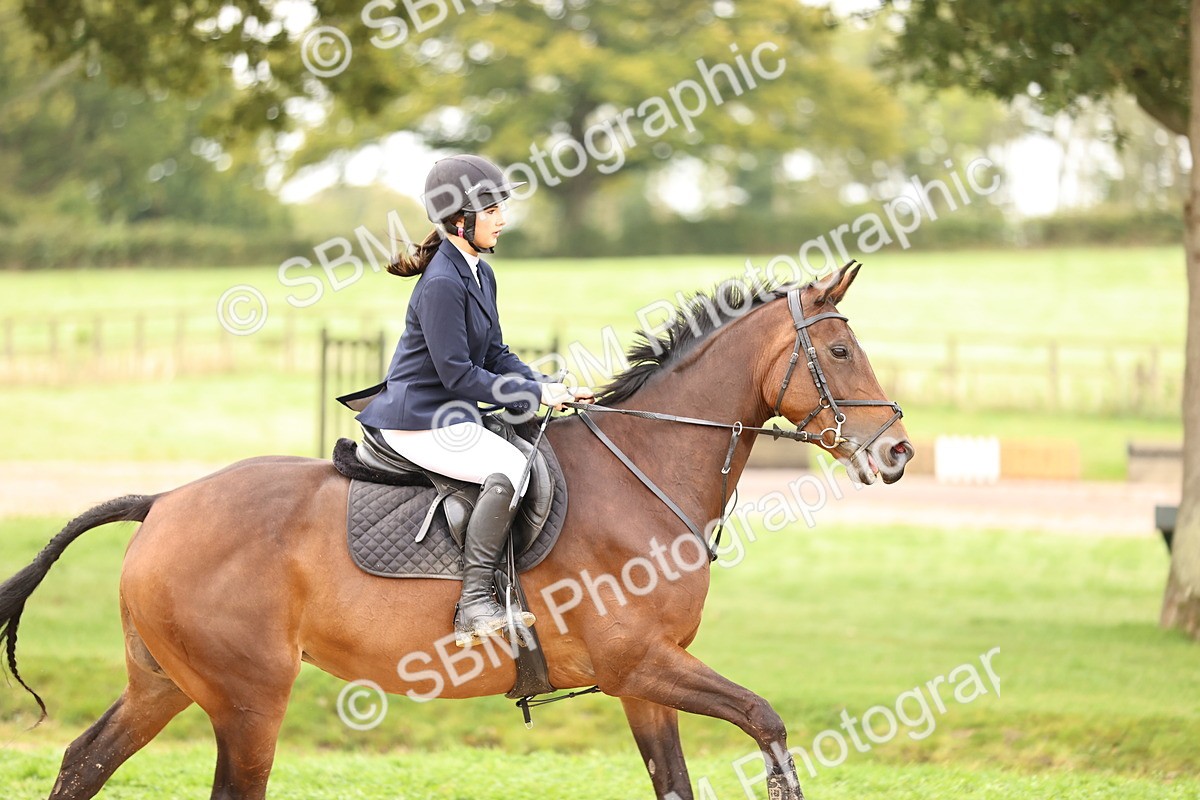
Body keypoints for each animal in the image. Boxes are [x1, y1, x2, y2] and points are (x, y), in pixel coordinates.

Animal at [0, 263, 912, 800]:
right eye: (838, 351)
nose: (898, 451)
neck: (644, 469)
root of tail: (163, 502)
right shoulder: (641, 663)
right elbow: (766, 718)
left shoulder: (644, 683)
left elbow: (682, 779)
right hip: (248, 699)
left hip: (166, 684)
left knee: (83, 762)